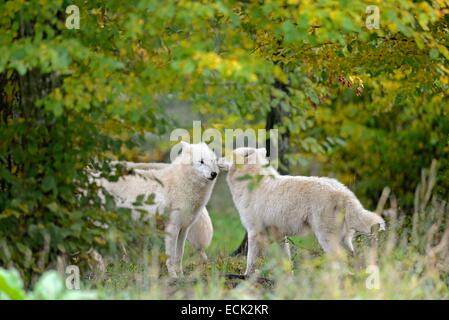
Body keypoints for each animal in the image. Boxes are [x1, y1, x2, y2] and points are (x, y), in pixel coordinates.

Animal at [96, 142, 219, 278]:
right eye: (201, 161)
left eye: (212, 161)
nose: (214, 174)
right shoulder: (172, 228)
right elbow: (171, 257)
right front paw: (173, 276)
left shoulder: (184, 229)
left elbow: (179, 255)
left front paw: (181, 276)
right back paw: (101, 273)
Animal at [219, 148, 384, 276]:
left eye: (228, 154)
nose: (217, 159)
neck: (251, 180)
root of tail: (344, 192)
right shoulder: (280, 237)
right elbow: (287, 262)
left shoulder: (254, 233)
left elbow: (250, 261)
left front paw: (246, 277)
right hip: (344, 240)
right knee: (353, 258)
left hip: (326, 238)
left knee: (340, 260)